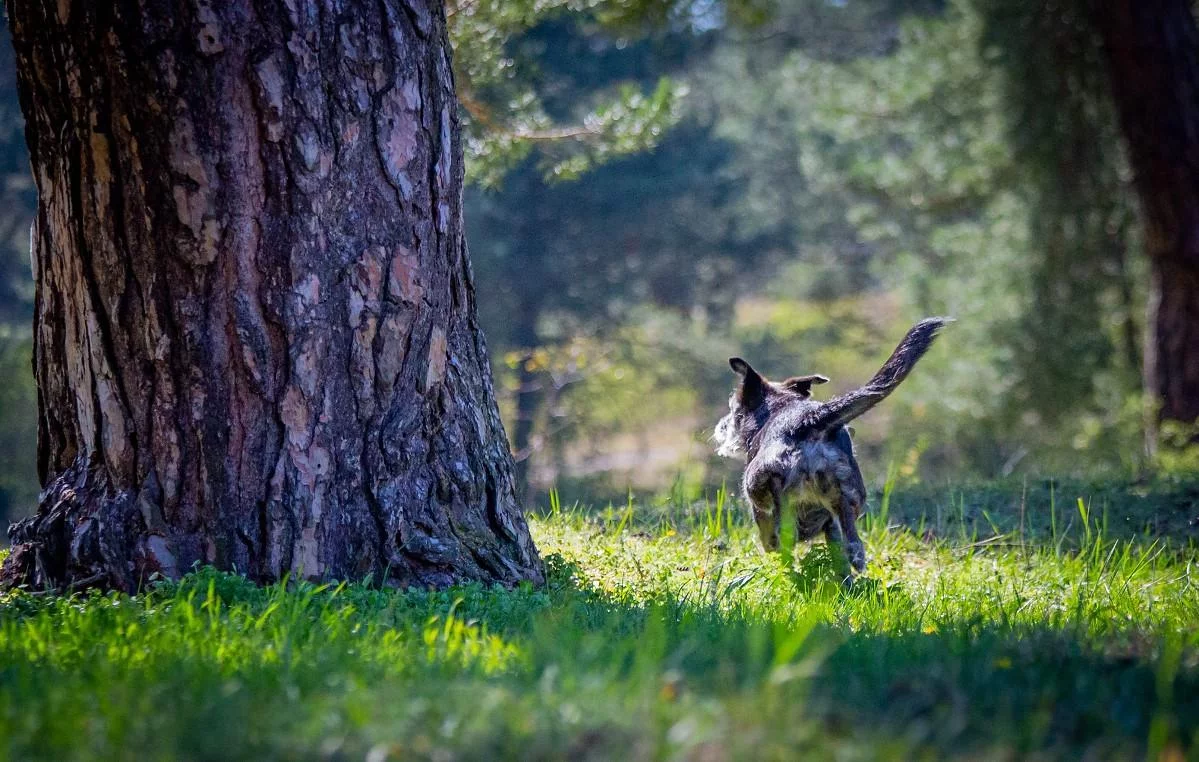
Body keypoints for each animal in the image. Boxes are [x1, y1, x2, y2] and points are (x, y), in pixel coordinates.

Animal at [709, 318, 954, 575]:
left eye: (734, 411)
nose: (719, 426)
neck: (778, 409)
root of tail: (808, 420)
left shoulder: (762, 512)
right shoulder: (831, 522)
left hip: (767, 490)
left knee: (785, 536)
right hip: (847, 493)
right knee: (851, 541)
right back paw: (854, 564)